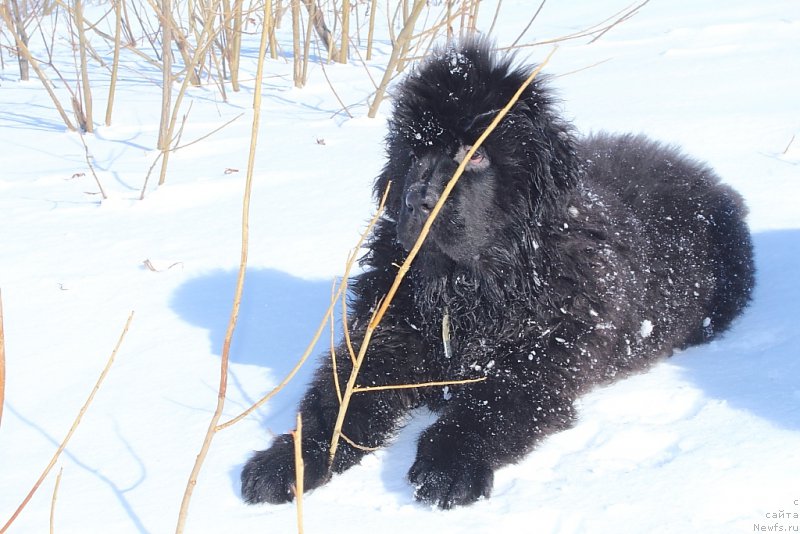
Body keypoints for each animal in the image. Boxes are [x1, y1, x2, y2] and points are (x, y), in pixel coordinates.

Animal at [241, 40, 752, 510]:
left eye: (477, 156)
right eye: (415, 150)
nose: (418, 201)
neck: (465, 290)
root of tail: (706, 176)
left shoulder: (544, 354)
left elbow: (488, 406)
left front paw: (448, 468)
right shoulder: (382, 335)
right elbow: (338, 401)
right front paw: (285, 462)